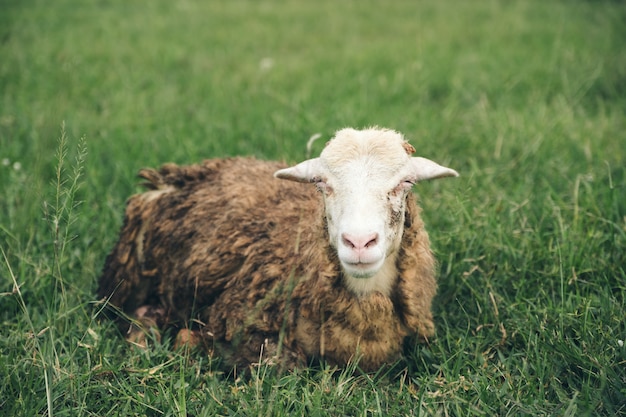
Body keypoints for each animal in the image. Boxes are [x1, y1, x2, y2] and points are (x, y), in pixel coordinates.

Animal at [98, 126, 458, 370]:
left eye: (405, 183)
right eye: (322, 184)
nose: (359, 242)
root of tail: (173, 177)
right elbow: (278, 364)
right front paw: (188, 341)